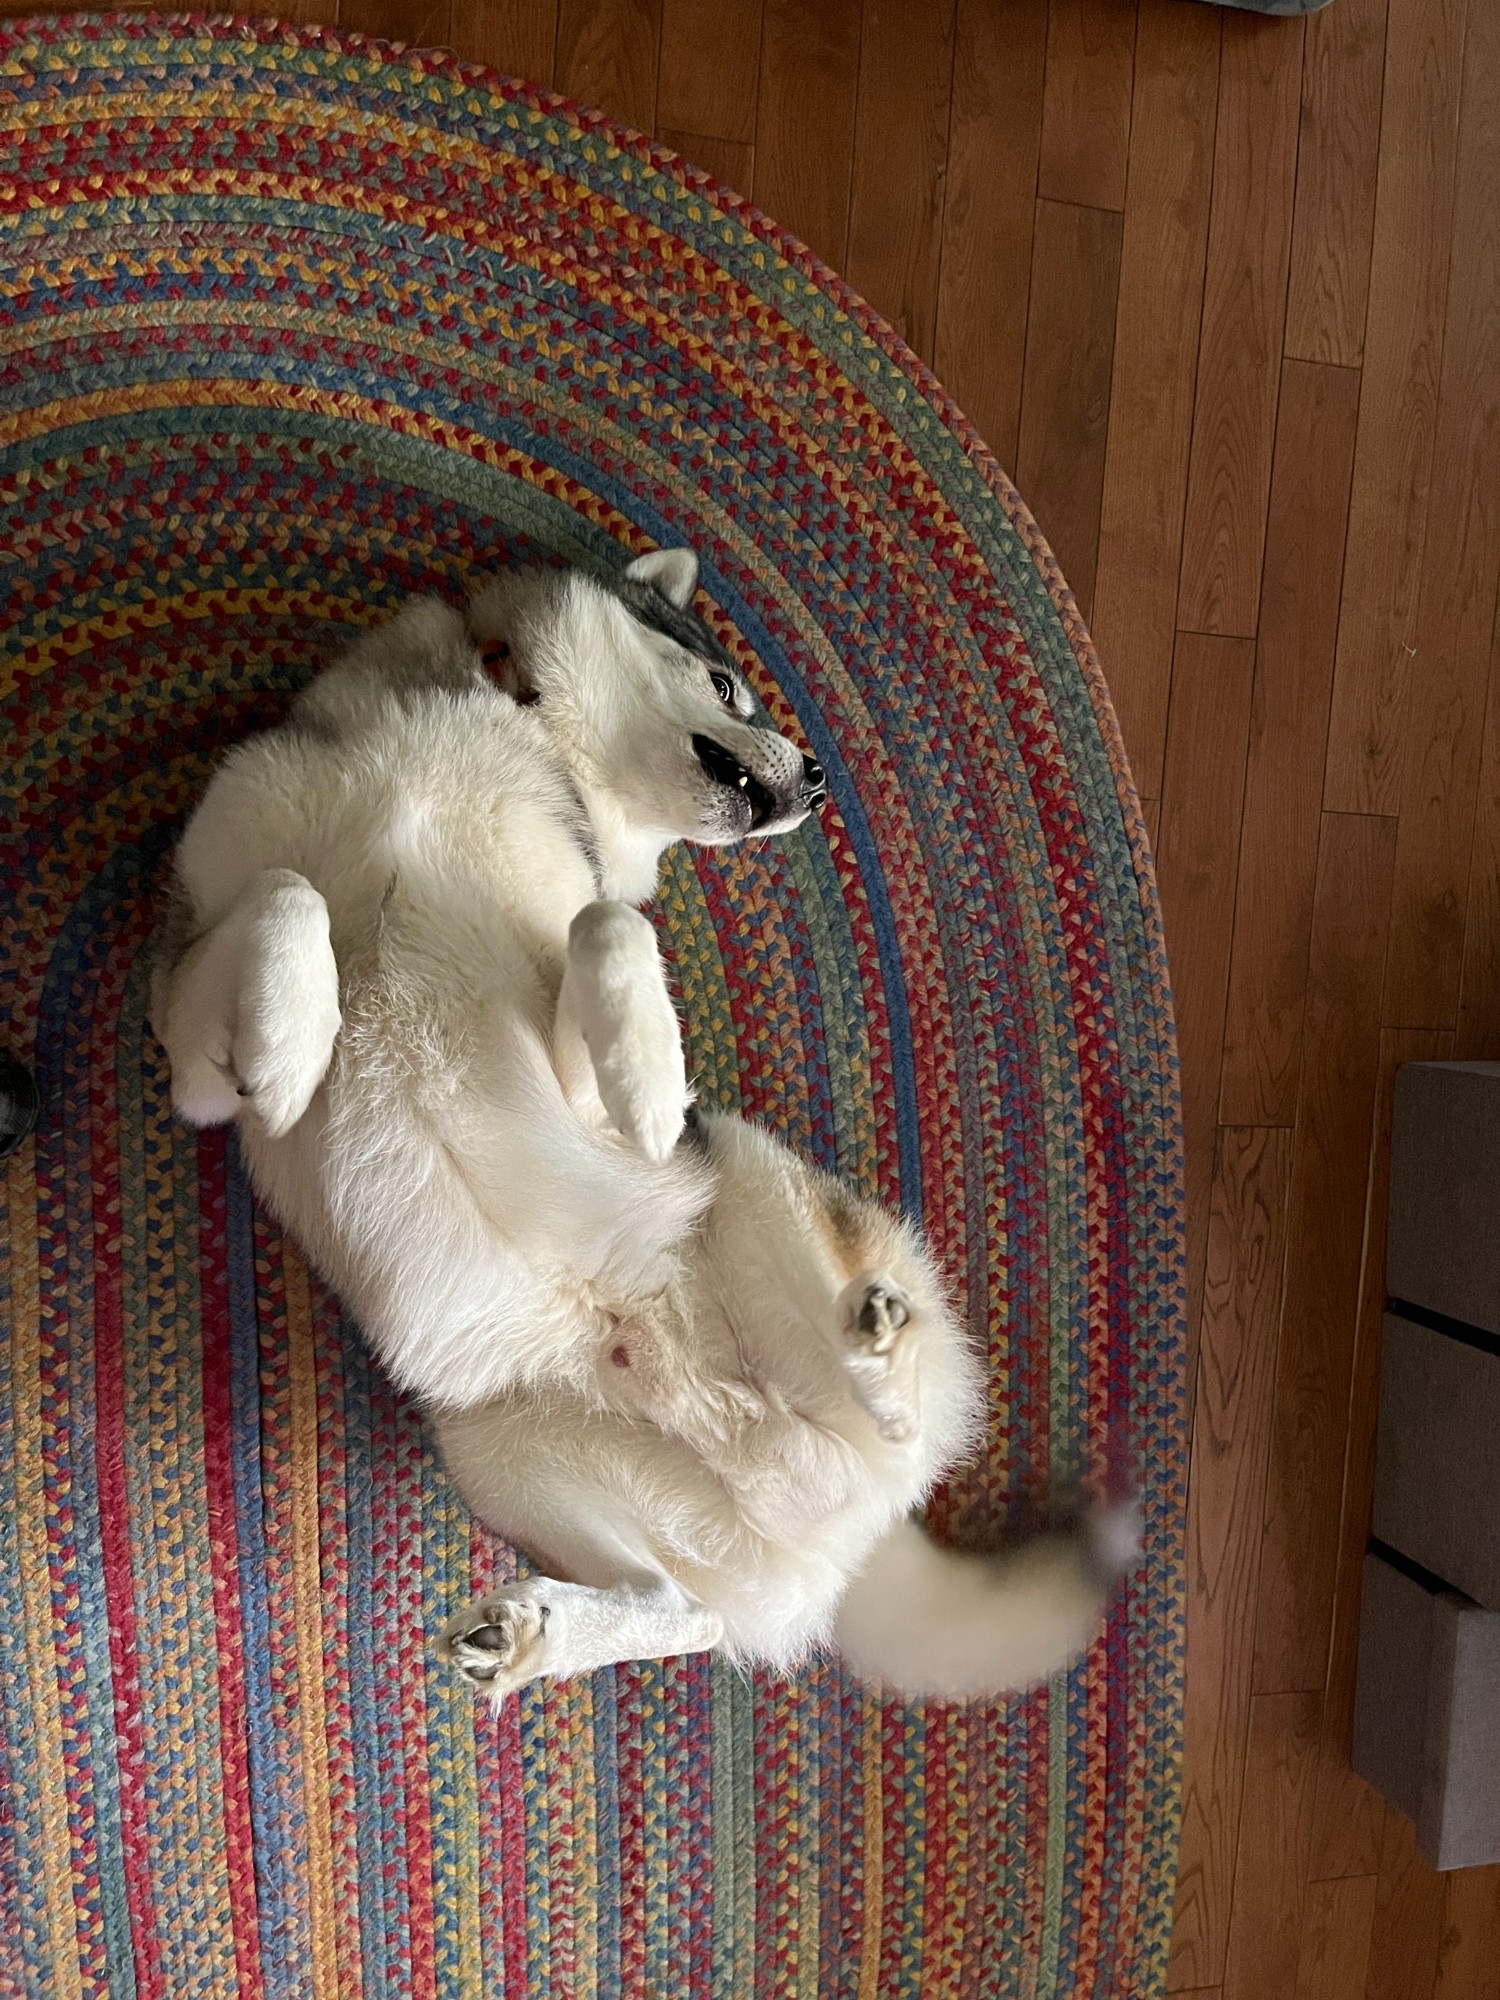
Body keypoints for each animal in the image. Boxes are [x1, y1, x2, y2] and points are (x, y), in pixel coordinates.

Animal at [153, 552, 1136, 1704]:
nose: (815, 779)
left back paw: (880, 1350)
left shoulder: (579, 1058)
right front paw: (292, 1045)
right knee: (686, 1611)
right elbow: (289, 891)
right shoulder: (189, 1046)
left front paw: (650, 1073)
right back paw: (533, 1634)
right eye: (725, 683)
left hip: (746, 1171)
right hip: (503, 1452)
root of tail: (833, 1531)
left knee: (869, 1406)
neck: (511, 720)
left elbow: (608, 923)